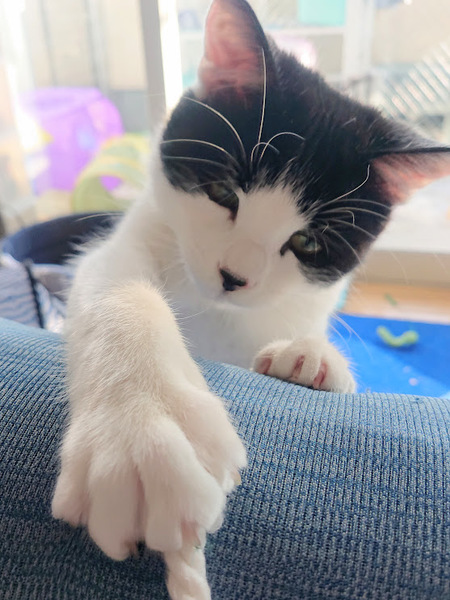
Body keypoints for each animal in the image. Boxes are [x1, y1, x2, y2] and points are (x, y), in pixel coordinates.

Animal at [51, 0, 450, 598]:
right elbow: (114, 285)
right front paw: (141, 425)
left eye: (306, 243)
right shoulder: (128, 244)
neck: (216, 314)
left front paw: (311, 358)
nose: (233, 276)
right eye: (222, 193)